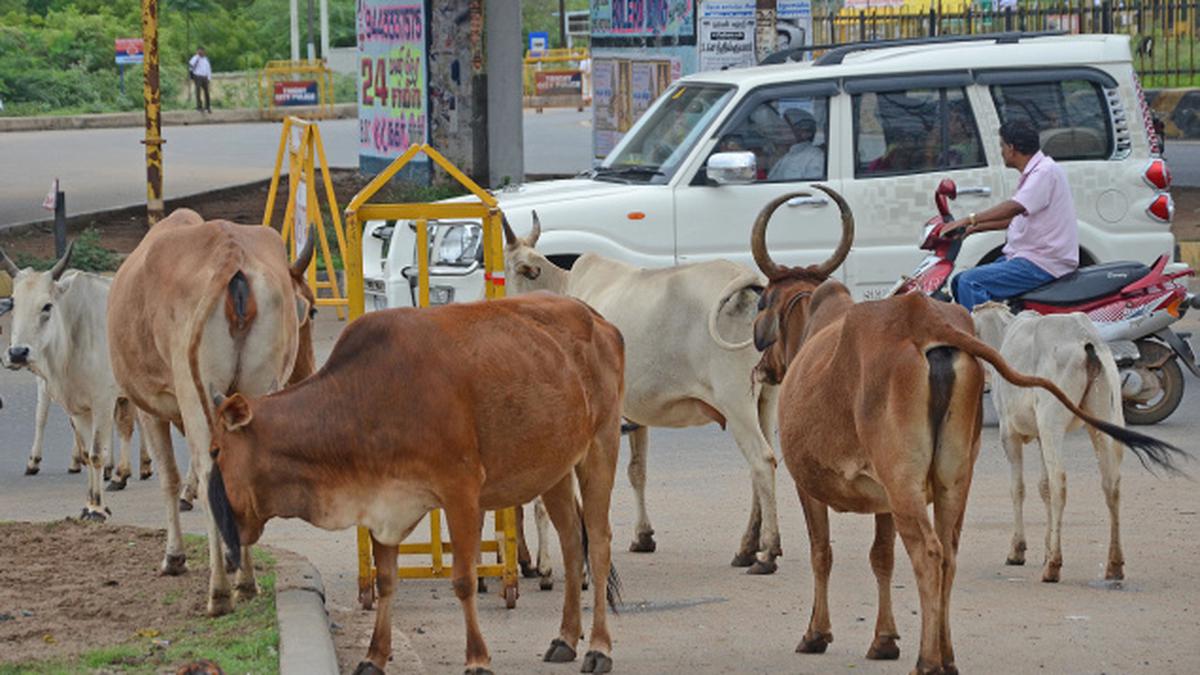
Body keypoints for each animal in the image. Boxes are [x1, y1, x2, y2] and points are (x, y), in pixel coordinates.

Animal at [204, 293, 628, 672]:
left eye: (214, 451)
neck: (367, 400)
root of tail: (597, 318)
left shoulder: (461, 491)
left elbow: (463, 580)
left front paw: (477, 659)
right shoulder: (381, 505)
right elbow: (386, 580)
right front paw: (374, 657)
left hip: (601, 446)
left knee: (598, 542)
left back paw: (599, 648)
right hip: (554, 469)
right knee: (572, 543)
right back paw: (565, 639)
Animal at [504, 212, 787, 569]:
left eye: (509, 268)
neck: (562, 288)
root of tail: (750, 283)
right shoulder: (634, 412)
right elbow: (637, 472)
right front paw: (643, 536)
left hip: (735, 400)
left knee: (761, 460)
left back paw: (768, 552)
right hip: (766, 396)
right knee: (762, 465)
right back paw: (747, 548)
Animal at [969, 302, 1128, 581]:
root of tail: (1085, 341)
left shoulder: (1008, 433)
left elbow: (1018, 488)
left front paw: (1018, 550)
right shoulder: (1041, 437)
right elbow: (1042, 488)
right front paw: (1044, 548)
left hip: (1051, 421)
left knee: (1059, 483)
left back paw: (1053, 565)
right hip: (1106, 415)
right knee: (1111, 483)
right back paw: (1114, 565)